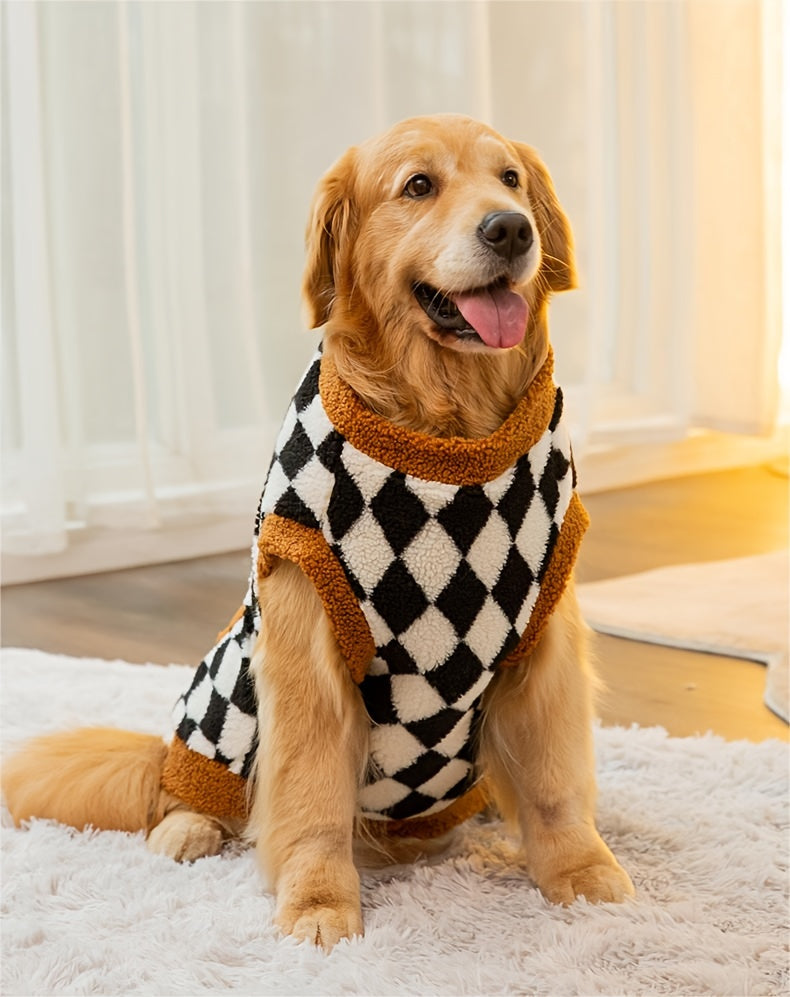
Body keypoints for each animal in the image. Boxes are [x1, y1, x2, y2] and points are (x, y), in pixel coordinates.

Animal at [3, 115, 636, 948]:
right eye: (418, 185)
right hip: (226, 690)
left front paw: (581, 872)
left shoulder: (544, 630)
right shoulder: (307, 635)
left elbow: (557, 781)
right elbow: (309, 800)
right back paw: (188, 826)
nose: (510, 229)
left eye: (510, 180)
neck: (446, 436)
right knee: (190, 784)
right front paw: (318, 903)